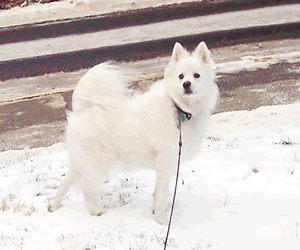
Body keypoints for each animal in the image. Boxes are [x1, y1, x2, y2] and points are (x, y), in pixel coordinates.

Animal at [48, 41, 218, 225]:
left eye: (196, 75)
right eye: (181, 76)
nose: (186, 84)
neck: (178, 108)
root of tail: (83, 109)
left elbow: (157, 191)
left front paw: (154, 210)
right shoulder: (165, 161)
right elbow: (161, 193)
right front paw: (160, 220)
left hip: (83, 160)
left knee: (68, 180)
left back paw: (54, 205)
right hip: (98, 162)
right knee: (85, 186)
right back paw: (94, 210)